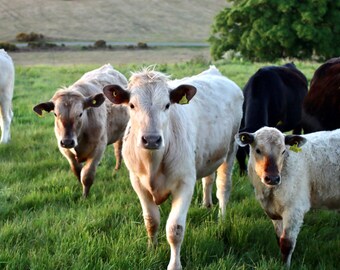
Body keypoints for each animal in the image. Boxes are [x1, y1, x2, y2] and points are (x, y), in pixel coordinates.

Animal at [33, 64, 129, 197]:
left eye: (80, 114)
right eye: (55, 114)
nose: (67, 142)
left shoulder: (98, 148)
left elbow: (87, 175)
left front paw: (85, 196)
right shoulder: (65, 151)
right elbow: (77, 171)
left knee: (118, 148)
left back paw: (117, 168)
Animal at [103, 66, 244, 270]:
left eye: (167, 105)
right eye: (132, 105)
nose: (151, 139)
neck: (152, 163)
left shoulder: (185, 183)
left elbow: (174, 229)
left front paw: (174, 265)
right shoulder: (137, 182)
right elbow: (151, 220)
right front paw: (151, 249)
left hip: (231, 149)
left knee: (224, 187)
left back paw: (222, 218)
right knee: (208, 179)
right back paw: (206, 204)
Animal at [236, 127, 340, 268]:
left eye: (283, 151)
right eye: (258, 150)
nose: (273, 178)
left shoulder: (294, 209)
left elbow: (286, 243)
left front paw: (285, 266)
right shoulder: (274, 212)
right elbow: (279, 239)